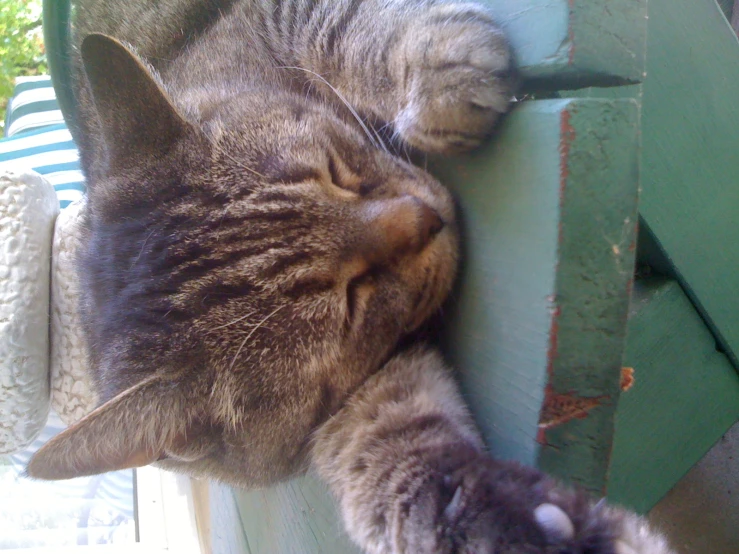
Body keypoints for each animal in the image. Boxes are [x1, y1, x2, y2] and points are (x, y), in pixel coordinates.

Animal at [27, 1, 676, 552]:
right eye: (350, 301)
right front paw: (517, 522)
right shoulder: (353, 409)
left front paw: (441, 70)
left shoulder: (259, 16)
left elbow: (338, 27)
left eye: (336, 173)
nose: (429, 218)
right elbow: (400, 464)